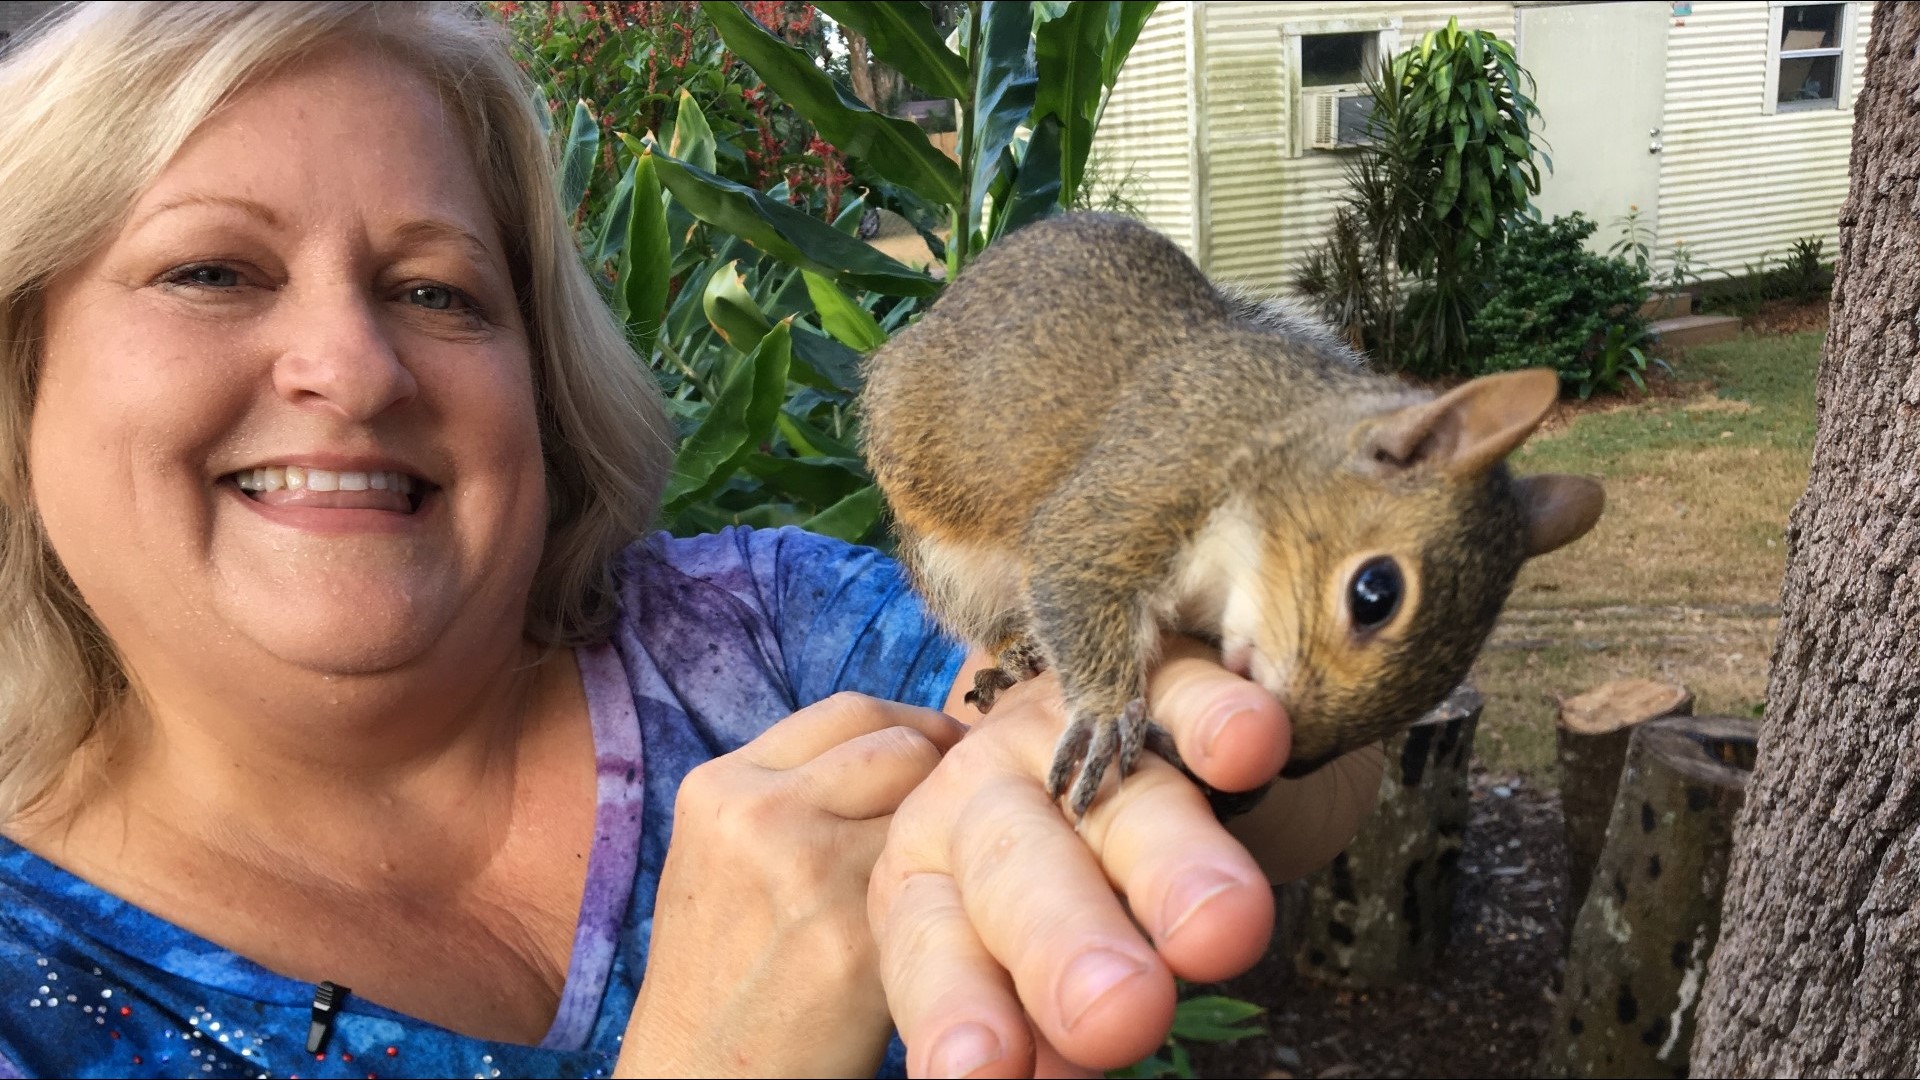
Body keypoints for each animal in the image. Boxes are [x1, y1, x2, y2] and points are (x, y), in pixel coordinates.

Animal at [860, 213, 1604, 817]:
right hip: (943, 548)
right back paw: (1017, 654)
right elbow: (1074, 577)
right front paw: (1104, 715)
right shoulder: (1135, 487)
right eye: (1375, 593)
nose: (1297, 762)